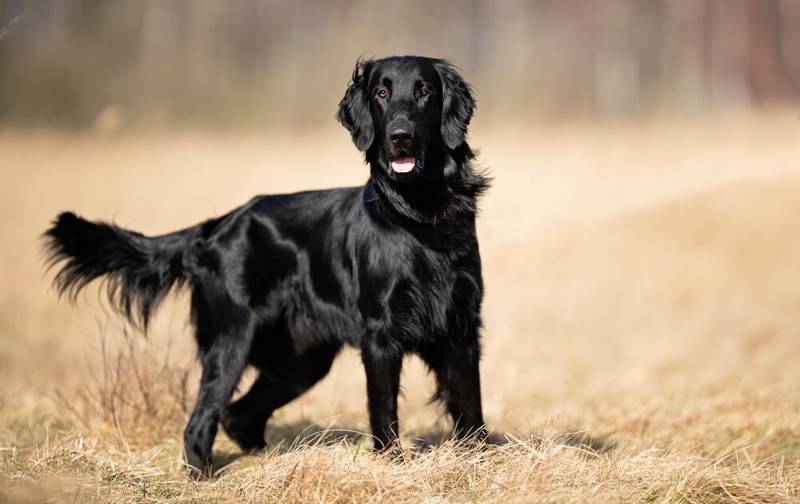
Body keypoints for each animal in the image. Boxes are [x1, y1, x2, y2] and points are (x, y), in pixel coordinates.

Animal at [48, 56, 494, 476]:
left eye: (424, 91)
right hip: (231, 340)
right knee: (201, 420)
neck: (420, 216)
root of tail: (218, 224)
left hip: (301, 360)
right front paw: (392, 466)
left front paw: (478, 459)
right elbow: (384, 409)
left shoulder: (461, 328)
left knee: (238, 414)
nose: (400, 137)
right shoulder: (381, 336)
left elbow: (470, 403)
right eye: (381, 94)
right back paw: (203, 475)